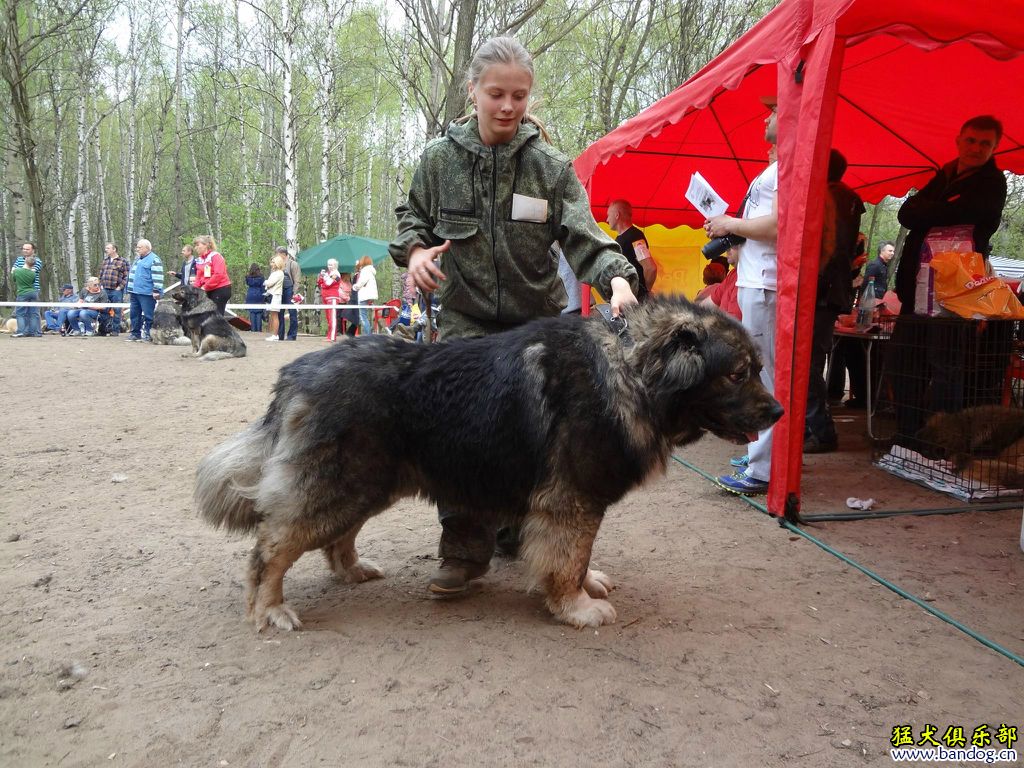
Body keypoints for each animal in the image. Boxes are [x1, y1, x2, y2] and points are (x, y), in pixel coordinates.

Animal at [193, 296, 782, 630]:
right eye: (737, 374)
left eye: (758, 368)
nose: (777, 411)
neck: (633, 372)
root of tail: (298, 371)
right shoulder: (571, 501)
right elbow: (567, 559)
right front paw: (575, 607)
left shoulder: (576, 502)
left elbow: (580, 555)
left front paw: (586, 586)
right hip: (340, 485)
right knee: (270, 549)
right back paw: (270, 610)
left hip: (368, 484)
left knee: (335, 538)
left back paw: (353, 571)